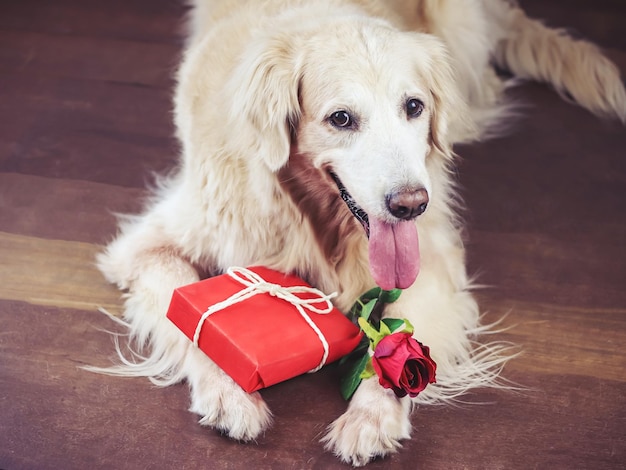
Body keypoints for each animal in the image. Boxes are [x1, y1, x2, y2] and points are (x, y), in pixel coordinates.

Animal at [94, 0, 624, 464]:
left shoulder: (432, 265)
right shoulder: (146, 245)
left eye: (414, 106)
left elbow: (402, 349)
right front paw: (230, 393)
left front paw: (370, 417)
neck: (311, 216)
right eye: (341, 118)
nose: (411, 205)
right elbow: (187, 318)